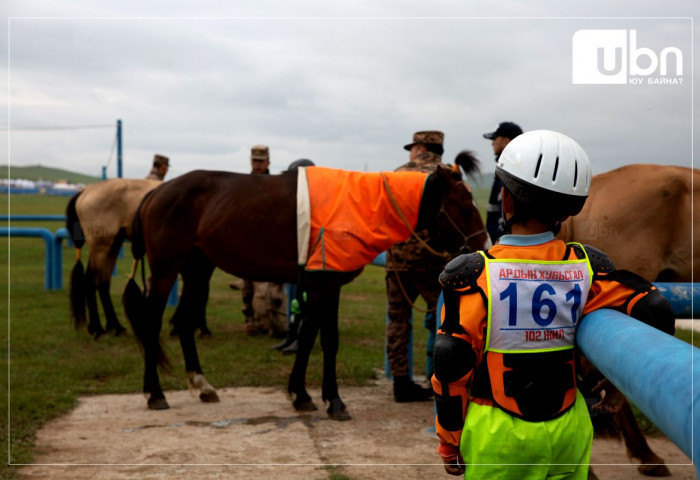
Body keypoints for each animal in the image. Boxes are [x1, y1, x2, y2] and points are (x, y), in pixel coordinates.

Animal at [66, 178, 162, 340]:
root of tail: (85, 191)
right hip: (101, 248)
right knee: (90, 281)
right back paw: (97, 328)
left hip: (113, 246)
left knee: (102, 283)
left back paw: (115, 326)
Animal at [123, 163, 486, 418]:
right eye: (463, 204)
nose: (482, 245)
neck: (360, 205)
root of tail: (154, 194)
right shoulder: (324, 284)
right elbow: (320, 339)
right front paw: (325, 399)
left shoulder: (324, 286)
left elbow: (317, 339)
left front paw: (311, 396)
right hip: (167, 270)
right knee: (153, 323)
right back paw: (155, 394)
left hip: (197, 270)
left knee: (184, 322)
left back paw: (202, 386)